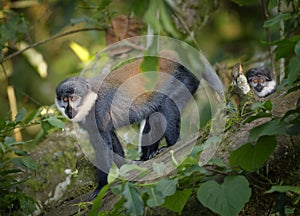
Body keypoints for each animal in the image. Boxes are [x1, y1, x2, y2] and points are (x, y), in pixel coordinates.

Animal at [55, 56, 204, 200]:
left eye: (73, 98)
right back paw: (147, 156)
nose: (69, 109)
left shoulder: (99, 109)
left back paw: (172, 145)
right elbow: (112, 140)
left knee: (165, 106)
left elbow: (103, 147)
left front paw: (101, 187)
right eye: (65, 99)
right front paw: (124, 169)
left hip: (183, 82)